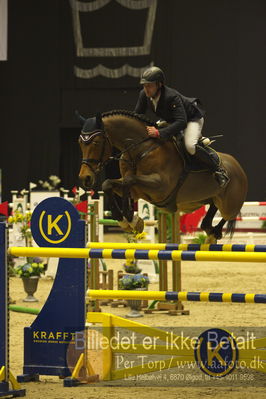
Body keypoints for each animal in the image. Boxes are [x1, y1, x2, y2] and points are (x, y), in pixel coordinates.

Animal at [78, 109, 248, 244]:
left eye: (96, 142)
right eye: (80, 142)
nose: (85, 178)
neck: (139, 150)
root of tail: (239, 167)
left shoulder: (160, 187)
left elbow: (129, 180)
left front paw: (131, 219)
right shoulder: (136, 190)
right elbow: (109, 184)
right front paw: (127, 220)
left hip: (229, 204)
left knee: (227, 215)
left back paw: (215, 232)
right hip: (205, 199)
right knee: (210, 211)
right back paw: (210, 231)